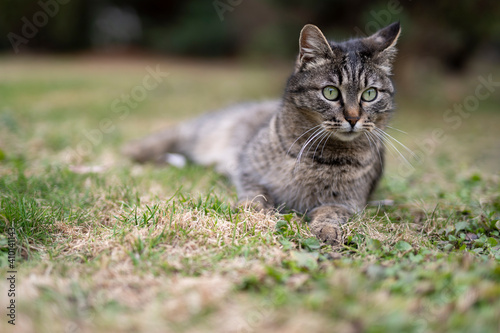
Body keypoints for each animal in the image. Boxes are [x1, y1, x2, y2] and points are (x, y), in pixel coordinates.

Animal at [124, 21, 402, 244]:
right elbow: (256, 194)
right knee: (175, 132)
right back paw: (136, 150)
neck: (322, 156)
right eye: (331, 92)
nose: (353, 118)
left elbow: (331, 213)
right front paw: (255, 211)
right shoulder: (247, 167)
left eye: (370, 94)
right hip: (205, 130)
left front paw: (327, 230)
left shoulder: (349, 202)